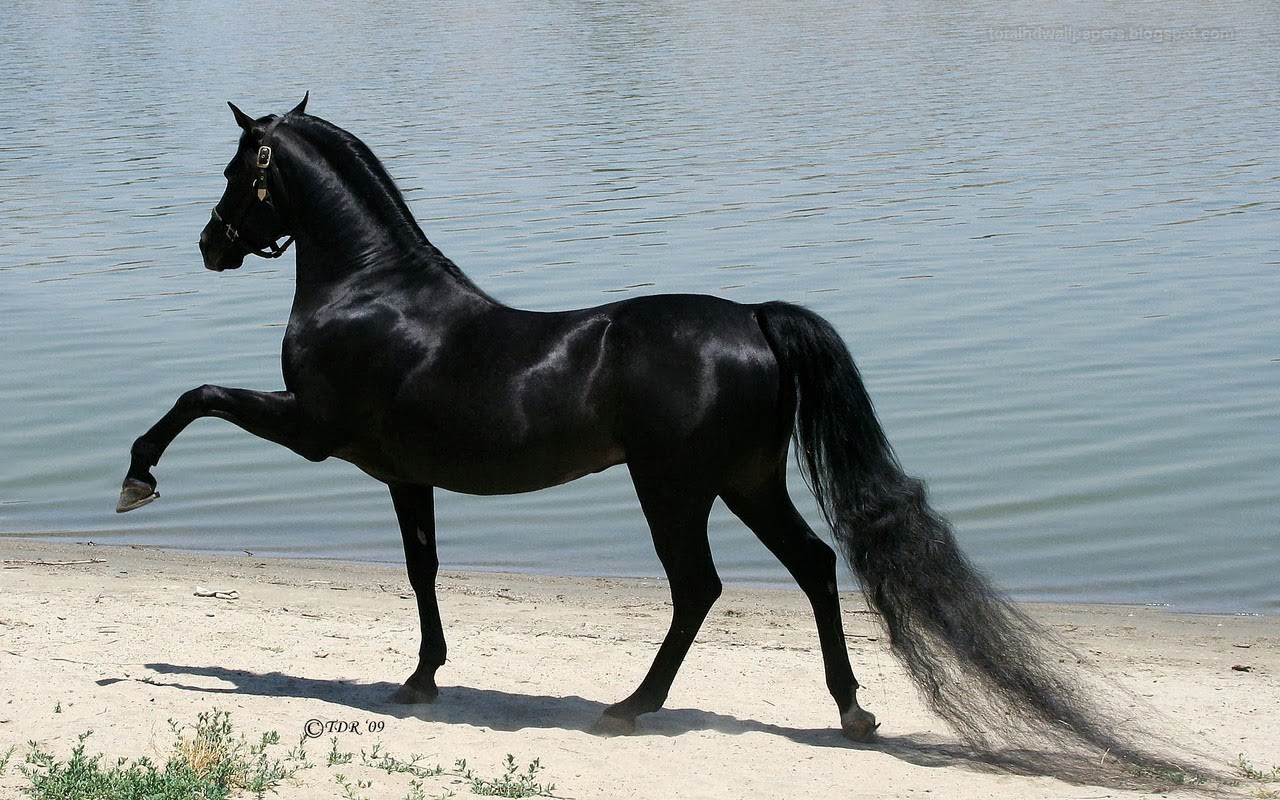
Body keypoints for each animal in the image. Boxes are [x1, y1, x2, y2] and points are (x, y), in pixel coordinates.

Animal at [116, 97, 1183, 767]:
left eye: (236, 168)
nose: (210, 245)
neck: (373, 291)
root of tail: (752, 317)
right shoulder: (402, 474)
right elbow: (423, 570)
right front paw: (421, 678)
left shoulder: (314, 431)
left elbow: (197, 394)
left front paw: (137, 478)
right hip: (746, 482)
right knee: (813, 567)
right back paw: (851, 710)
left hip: (674, 488)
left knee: (699, 587)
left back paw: (633, 708)